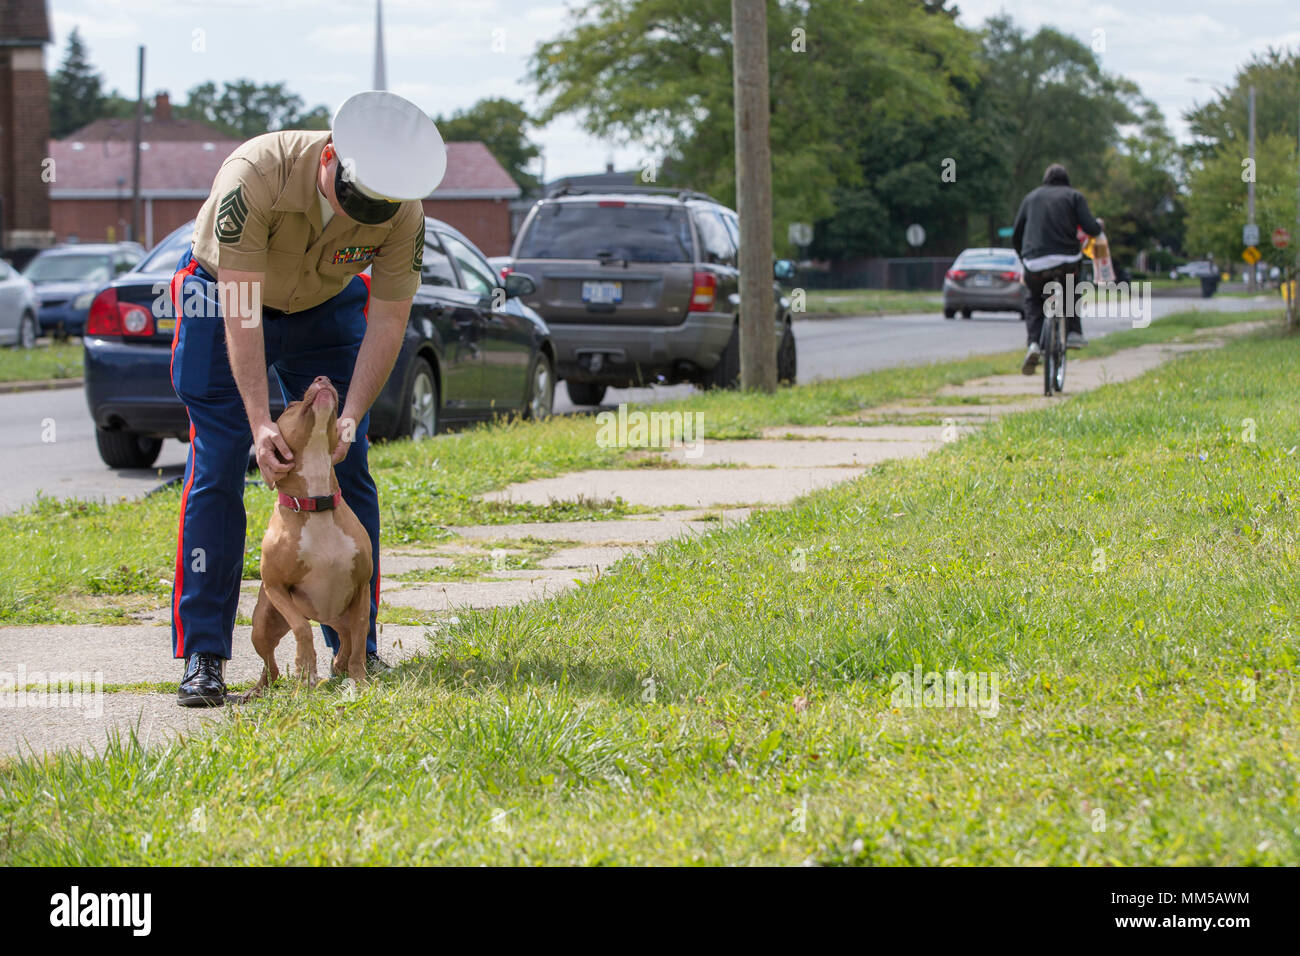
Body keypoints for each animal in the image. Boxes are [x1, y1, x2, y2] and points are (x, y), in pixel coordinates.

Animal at [243, 377, 371, 697]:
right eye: (290, 404)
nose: (321, 378)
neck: (316, 502)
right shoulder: (277, 588)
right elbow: (302, 630)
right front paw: (306, 675)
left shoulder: (361, 587)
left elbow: (361, 635)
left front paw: (360, 679)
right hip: (262, 624)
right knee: (270, 666)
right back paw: (259, 690)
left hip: (340, 616)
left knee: (347, 638)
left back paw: (340, 666)